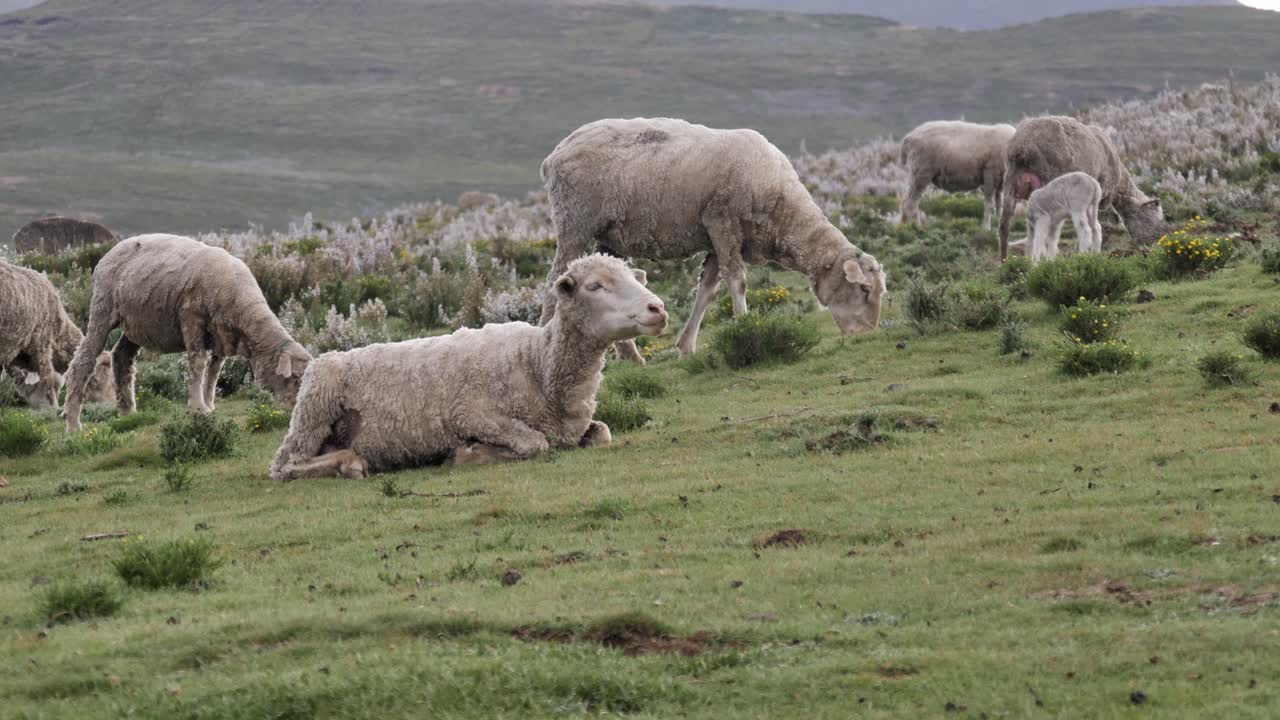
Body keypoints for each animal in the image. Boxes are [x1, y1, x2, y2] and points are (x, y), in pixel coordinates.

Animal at [62, 234, 312, 432]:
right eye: (295, 378)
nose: (297, 411)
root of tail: (108, 253)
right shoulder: (192, 318)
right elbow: (199, 364)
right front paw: (198, 408)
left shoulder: (221, 336)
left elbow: (215, 371)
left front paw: (210, 404)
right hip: (103, 307)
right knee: (84, 358)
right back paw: (73, 423)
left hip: (136, 323)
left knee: (122, 356)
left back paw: (128, 412)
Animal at [270, 254, 667, 480]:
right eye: (595, 286)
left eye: (637, 279)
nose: (658, 309)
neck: (538, 364)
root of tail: (326, 356)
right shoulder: (472, 414)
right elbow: (535, 443)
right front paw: (467, 455)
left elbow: (602, 433)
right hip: (315, 408)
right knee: (285, 464)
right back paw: (350, 464)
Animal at [538, 117, 886, 361]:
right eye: (864, 290)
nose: (866, 335)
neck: (783, 211)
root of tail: (555, 154)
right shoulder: (722, 220)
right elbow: (738, 281)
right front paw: (747, 328)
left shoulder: (720, 237)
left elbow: (708, 289)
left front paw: (686, 346)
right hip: (576, 223)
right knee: (554, 281)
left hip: (607, 237)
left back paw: (631, 357)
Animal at [998, 116, 1167, 259]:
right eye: (1153, 215)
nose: (1156, 243)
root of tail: (1022, 145)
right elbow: (1090, 227)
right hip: (1048, 180)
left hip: (1010, 179)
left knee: (1004, 226)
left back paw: (1005, 262)